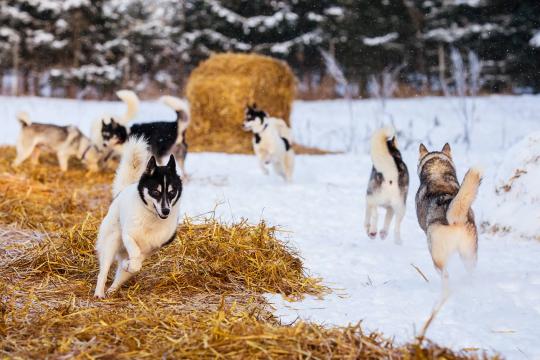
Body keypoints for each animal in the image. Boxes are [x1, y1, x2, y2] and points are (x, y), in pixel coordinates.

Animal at [94, 138, 182, 298]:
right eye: (155, 192)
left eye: (172, 192)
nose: (166, 211)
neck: (152, 217)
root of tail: (123, 190)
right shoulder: (128, 236)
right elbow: (134, 252)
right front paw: (129, 263)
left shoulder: (153, 248)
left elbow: (136, 263)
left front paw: (128, 264)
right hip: (111, 241)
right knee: (103, 270)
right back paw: (99, 292)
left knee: (120, 276)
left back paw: (112, 289)